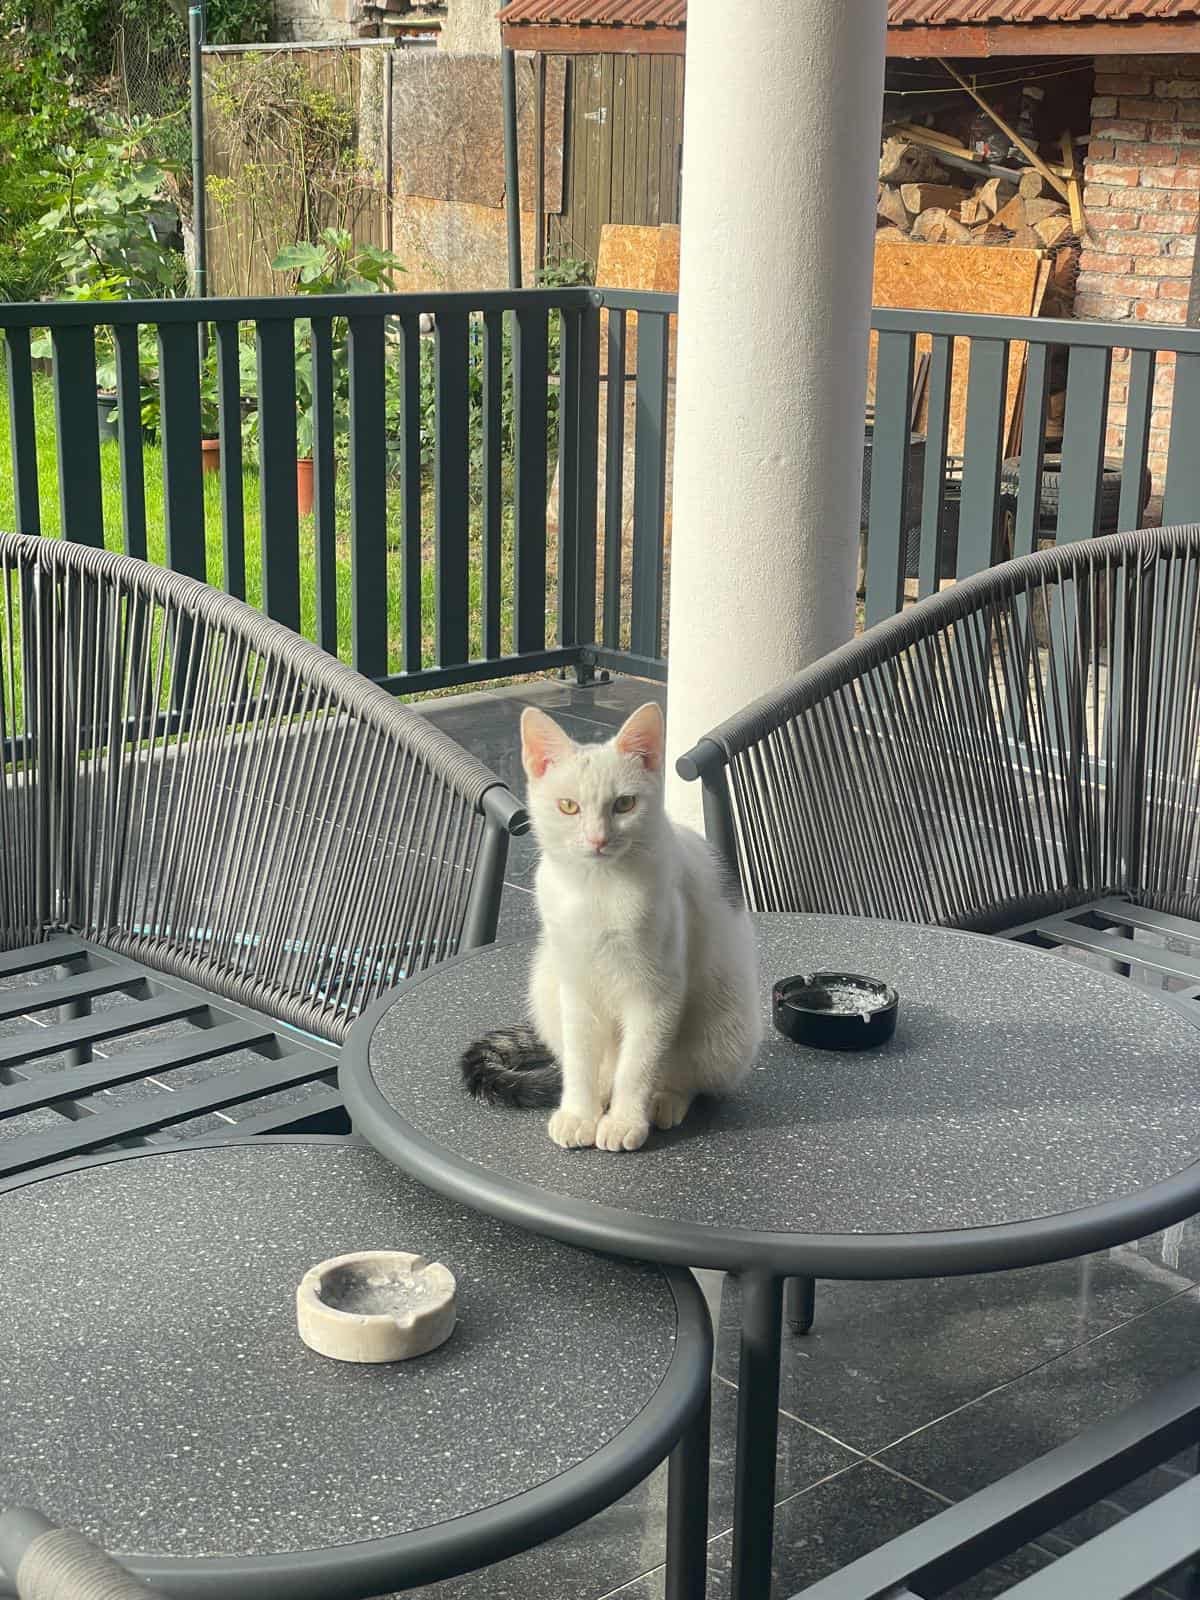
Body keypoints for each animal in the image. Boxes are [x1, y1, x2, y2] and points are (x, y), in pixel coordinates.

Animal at [461, 700, 762, 1152]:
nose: (598, 839)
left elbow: (638, 1064)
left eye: (624, 804)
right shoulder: (576, 986)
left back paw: (664, 1101)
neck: (596, 890)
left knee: (686, 1075)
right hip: (546, 983)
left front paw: (623, 1121)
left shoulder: (656, 993)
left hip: (725, 1028)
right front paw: (579, 1113)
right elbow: (581, 1059)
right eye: (569, 807)